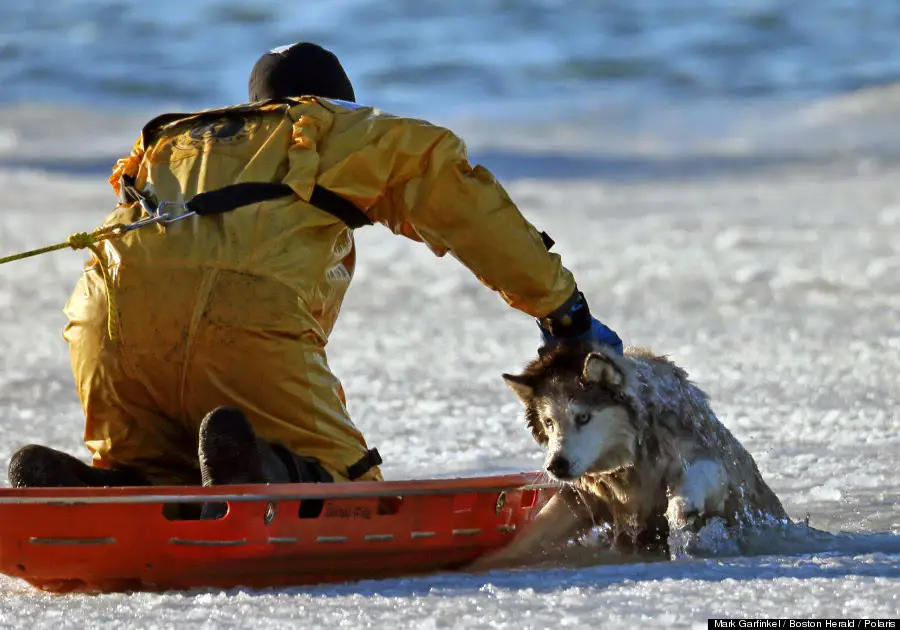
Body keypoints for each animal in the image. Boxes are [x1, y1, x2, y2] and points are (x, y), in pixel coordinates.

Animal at [472, 344, 788, 572]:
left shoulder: (709, 460)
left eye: (583, 417)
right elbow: (530, 536)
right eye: (549, 422)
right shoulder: (585, 496)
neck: (630, 465)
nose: (556, 466)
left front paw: (681, 508)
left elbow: (698, 477)